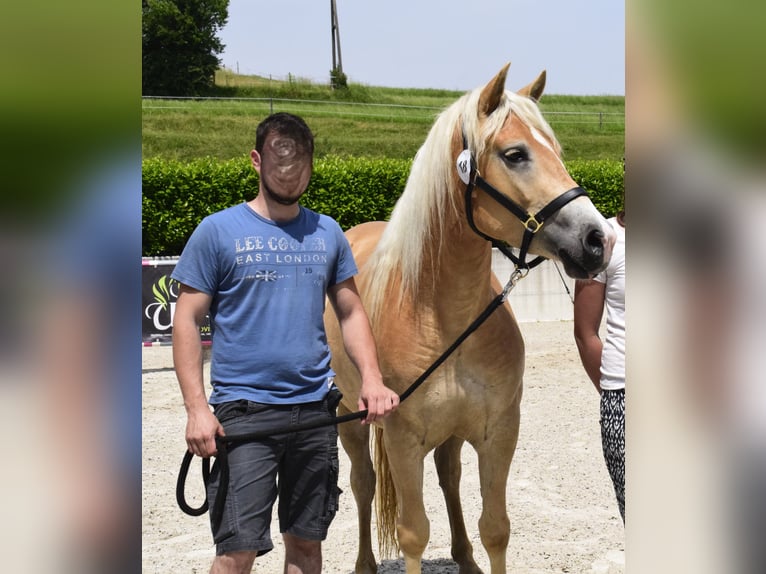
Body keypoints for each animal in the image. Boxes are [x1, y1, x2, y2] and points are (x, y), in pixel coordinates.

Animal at [324, 64, 616, 574]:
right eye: (515, 154)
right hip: (349, 417)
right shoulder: (402, 440)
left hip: (451, 435)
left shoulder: (498, 431)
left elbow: (494, 528)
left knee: (449, 476)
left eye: (557, 152)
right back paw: (365, 563)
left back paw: (464, 557)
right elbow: (414, 534)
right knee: (362, 483)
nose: (598, 239)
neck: (445, 317)